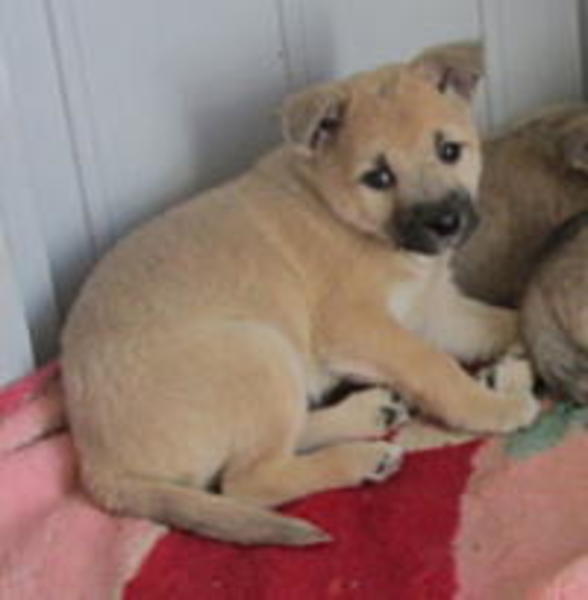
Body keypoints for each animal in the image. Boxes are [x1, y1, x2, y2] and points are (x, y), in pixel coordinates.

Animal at [61, 41, 538, 548]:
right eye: (378, 177)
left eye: (449, 150)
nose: (446, 224)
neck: (341, 212)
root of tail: (98, 466)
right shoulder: (361, 326)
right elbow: (434, 365)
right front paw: (491, 406)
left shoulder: (433, 311)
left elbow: (507, 316)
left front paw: (518, 357)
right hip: (260, 352)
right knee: (248, 481)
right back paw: (359, 458)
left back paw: (369, 414)